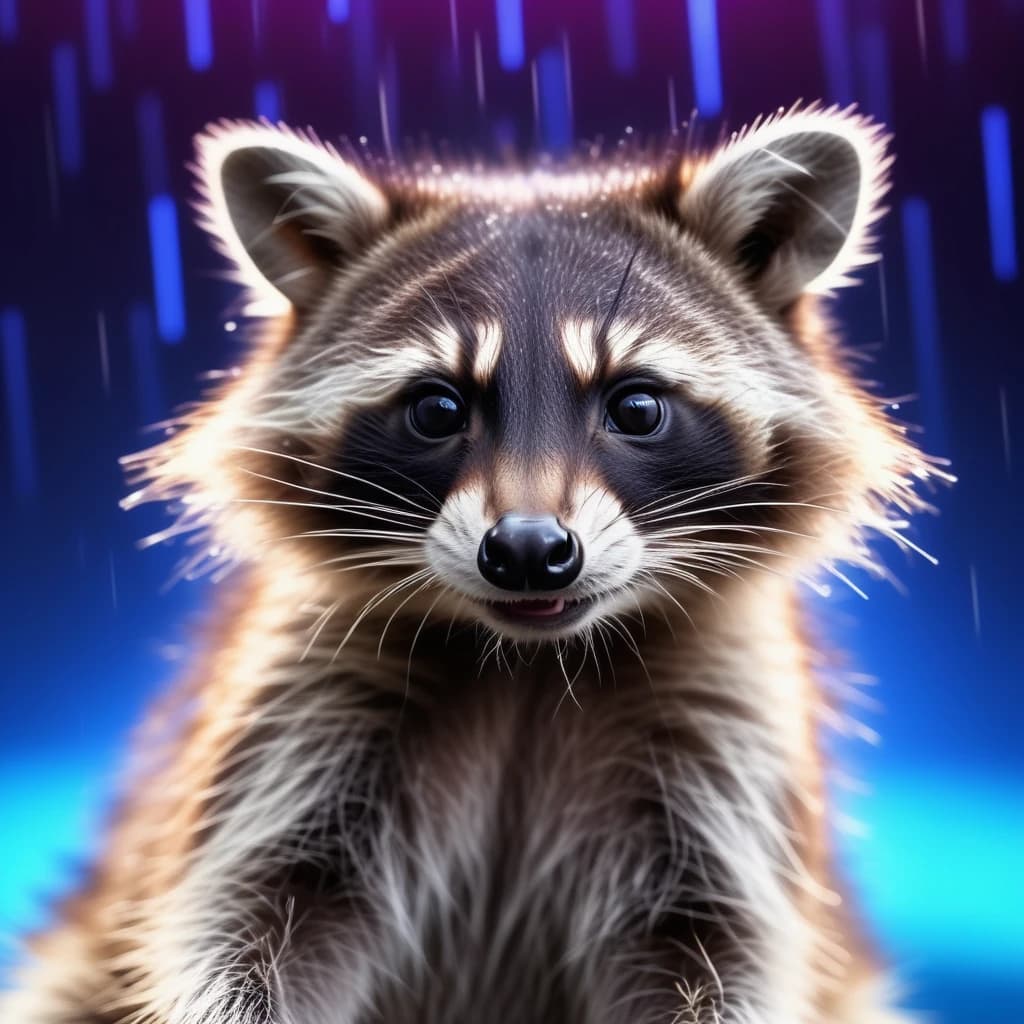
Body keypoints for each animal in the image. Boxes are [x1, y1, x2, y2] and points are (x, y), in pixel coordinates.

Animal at [3, 105, 941, 1024]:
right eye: (437, 408)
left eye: (637, 406)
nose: (528, 552)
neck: (529, 664)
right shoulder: (300, 712)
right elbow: (245, 929)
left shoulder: (726, 748)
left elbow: (716, 954)